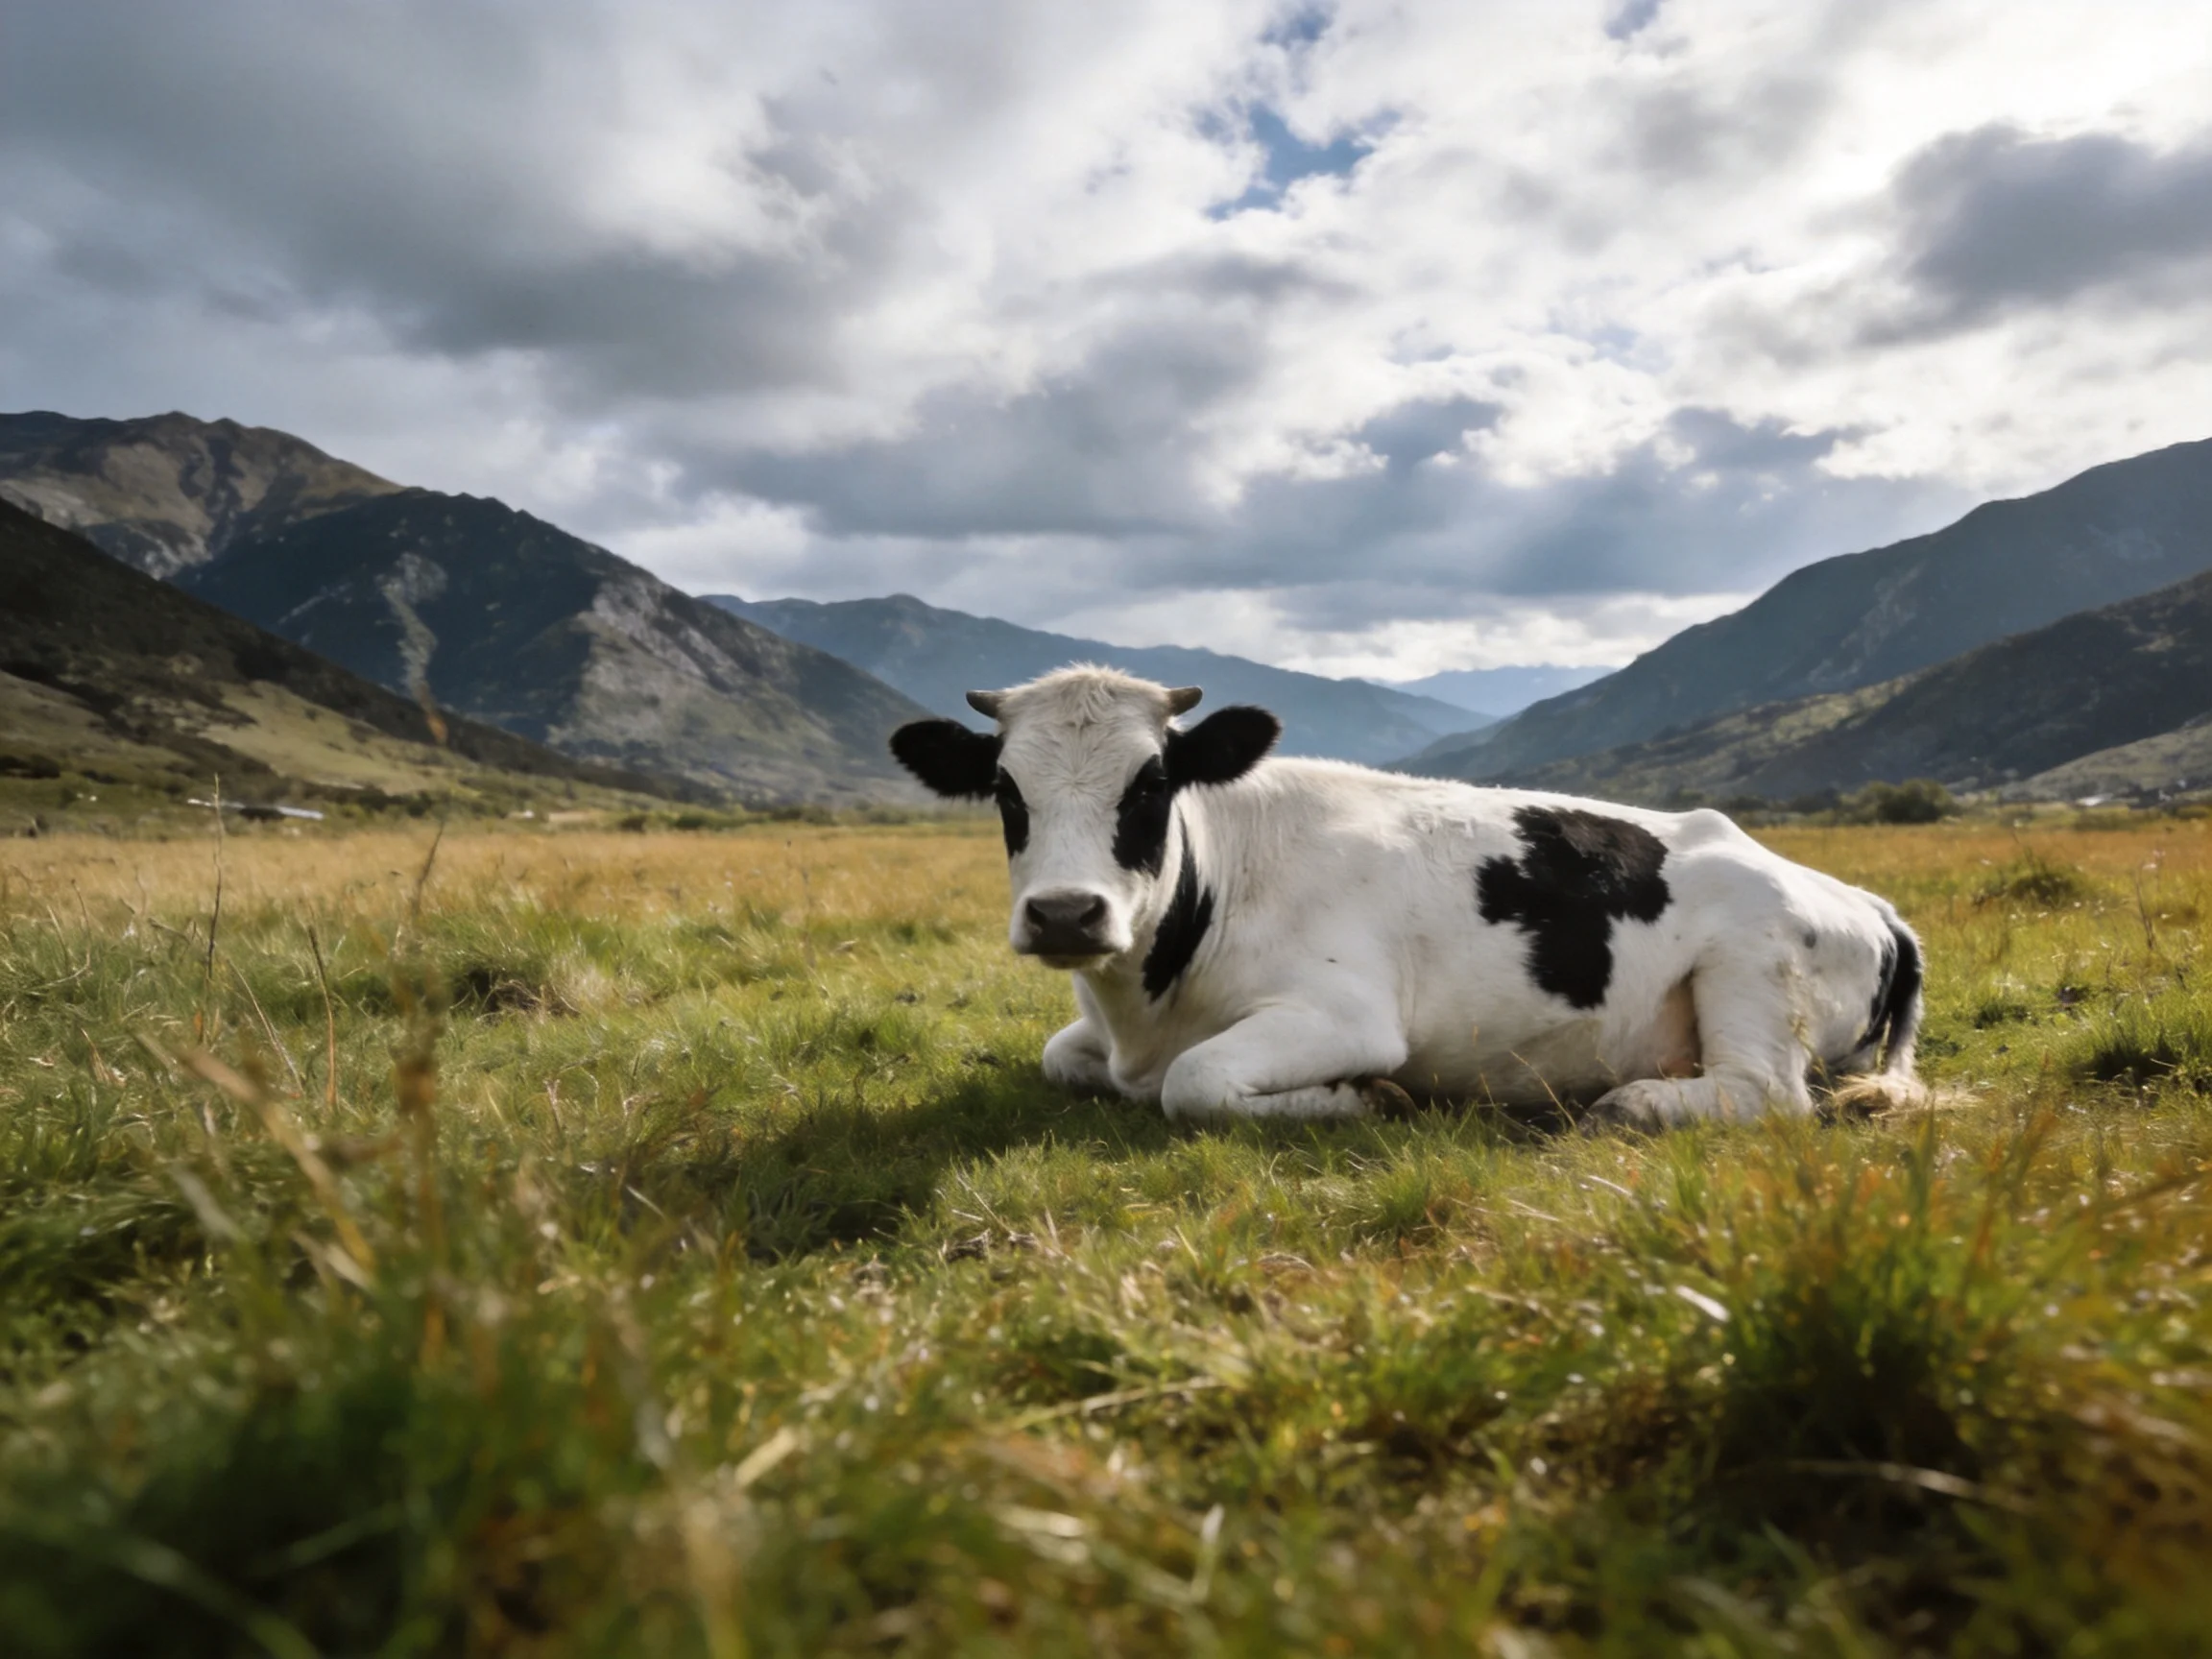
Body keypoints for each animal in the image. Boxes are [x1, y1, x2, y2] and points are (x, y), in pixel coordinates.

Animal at [890, 666, 1925, 1127]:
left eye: (1150, 786)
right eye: (1006, 791)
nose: (1067, 913)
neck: (1142, 1011)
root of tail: (1870, 902)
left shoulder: (1344, 1012)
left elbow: (1195, 1083)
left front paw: (1360, 1097)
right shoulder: (1096, 1042)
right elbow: (1060, 1058)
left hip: (1752, 963)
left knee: (1765, 1095)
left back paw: (1629, 1098)